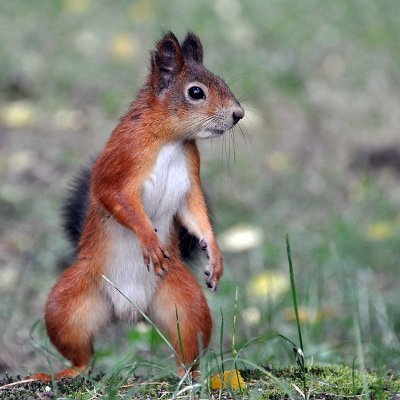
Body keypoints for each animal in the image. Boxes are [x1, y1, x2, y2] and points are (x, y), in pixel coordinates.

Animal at [32, 32, 244, 382]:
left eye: (224, 81)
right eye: (196, 92)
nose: (239, 114)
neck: (171, 140)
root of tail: (130, 312)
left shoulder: (190, 181)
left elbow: (196, 214)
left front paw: (214, 255)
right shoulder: (122, 160)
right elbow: (117, 199)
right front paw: (149, 240)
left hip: (185, 306)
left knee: (187, 347)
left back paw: (190, 377)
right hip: (68, 307)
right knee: (82, 354)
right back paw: (65, 372)